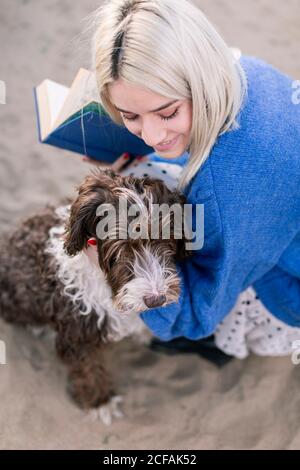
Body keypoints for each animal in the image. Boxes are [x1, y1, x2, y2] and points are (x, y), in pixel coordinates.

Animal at [0, 166, 189, 426]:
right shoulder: (77, 332)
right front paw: (101, 402)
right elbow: (87, 368)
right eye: (121, 248)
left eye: (165, 239)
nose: (156, 300)